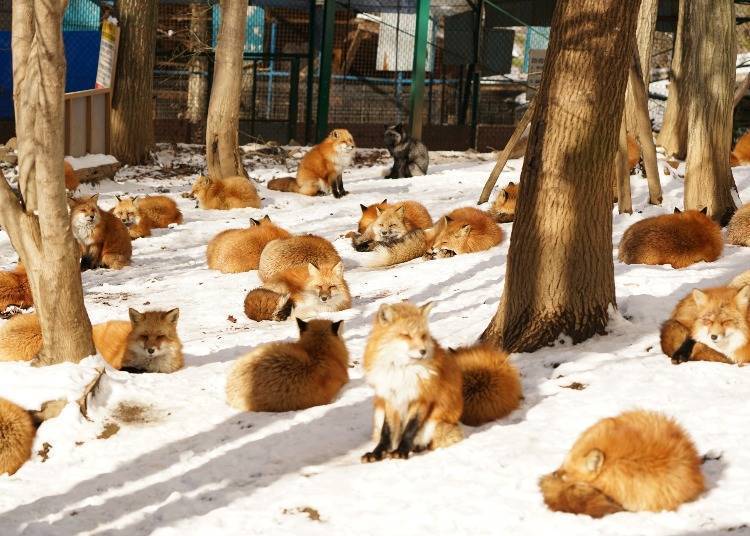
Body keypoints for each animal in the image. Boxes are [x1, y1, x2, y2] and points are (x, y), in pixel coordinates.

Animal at [361, 302, 464, 462]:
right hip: (378, 412)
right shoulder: (391, 398)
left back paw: (416, 448)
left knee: (430, 442)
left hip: (433, 423)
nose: (424, 352)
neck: (402, 370)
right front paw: (377, 452)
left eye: (423, 336)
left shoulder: (421, 398)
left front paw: (401, 451)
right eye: (406, 335)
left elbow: (410, 429)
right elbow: (386, 432)